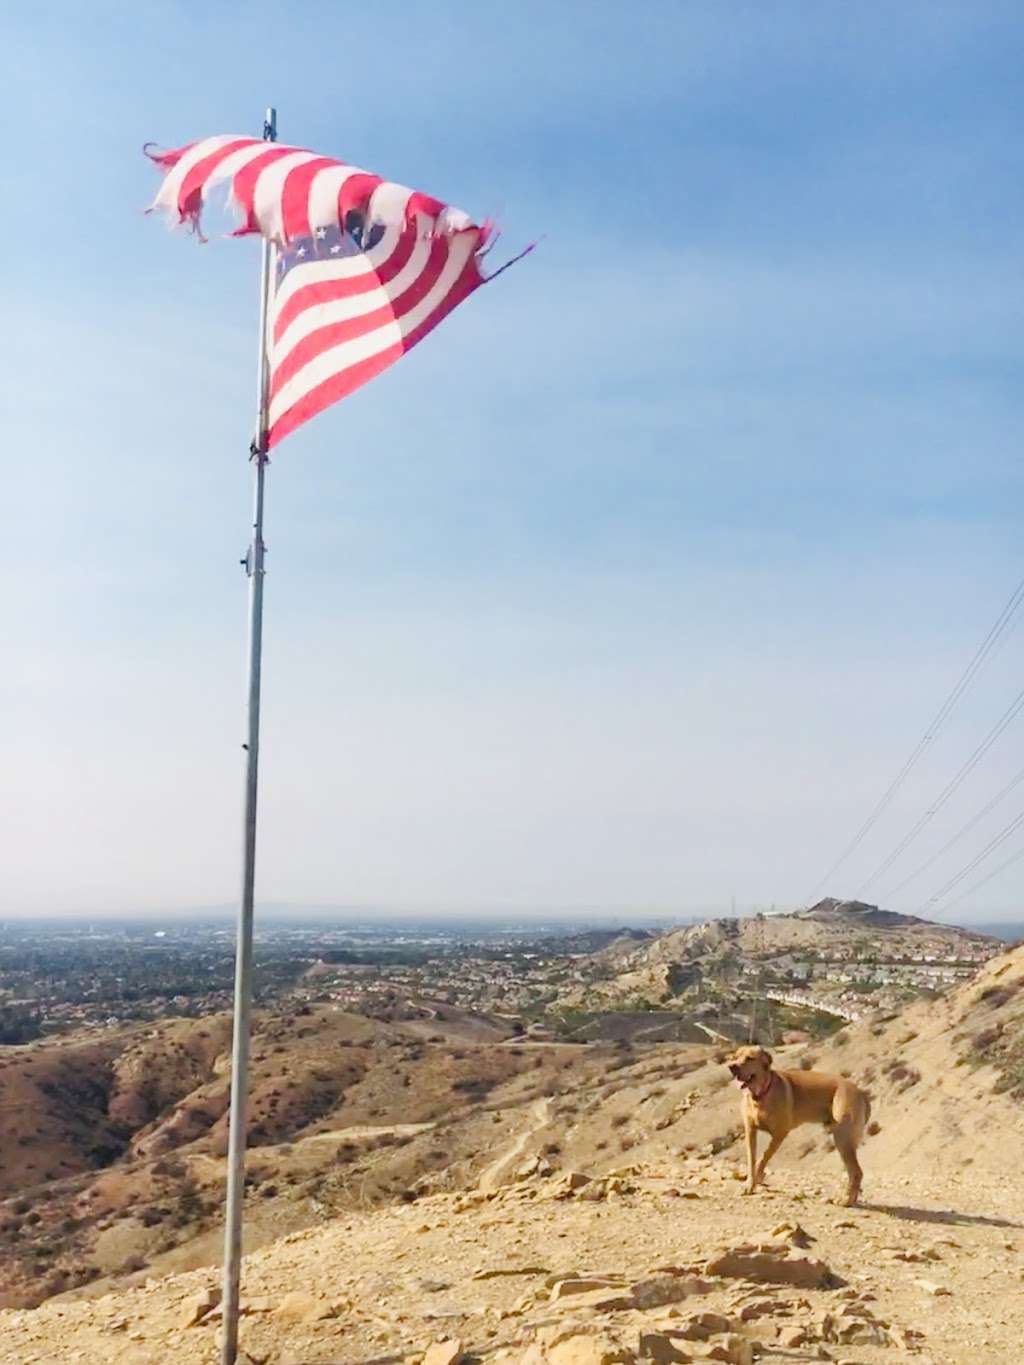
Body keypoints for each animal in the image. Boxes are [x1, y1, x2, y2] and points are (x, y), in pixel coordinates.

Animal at [731, 1042, 873, 1206]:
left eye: (750, 1058)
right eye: (736, 1056)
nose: (731, 1066)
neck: (760, 1096)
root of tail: (860, 1092)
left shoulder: (780, 1133)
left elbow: (764, 1156)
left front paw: (757, 1178)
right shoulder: (750, 1130)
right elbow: (752, 1160)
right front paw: (749, 1184)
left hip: (842, 1138)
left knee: (856, 1172)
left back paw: (846, 1200)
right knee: (854, 1172)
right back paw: (851, 1199)